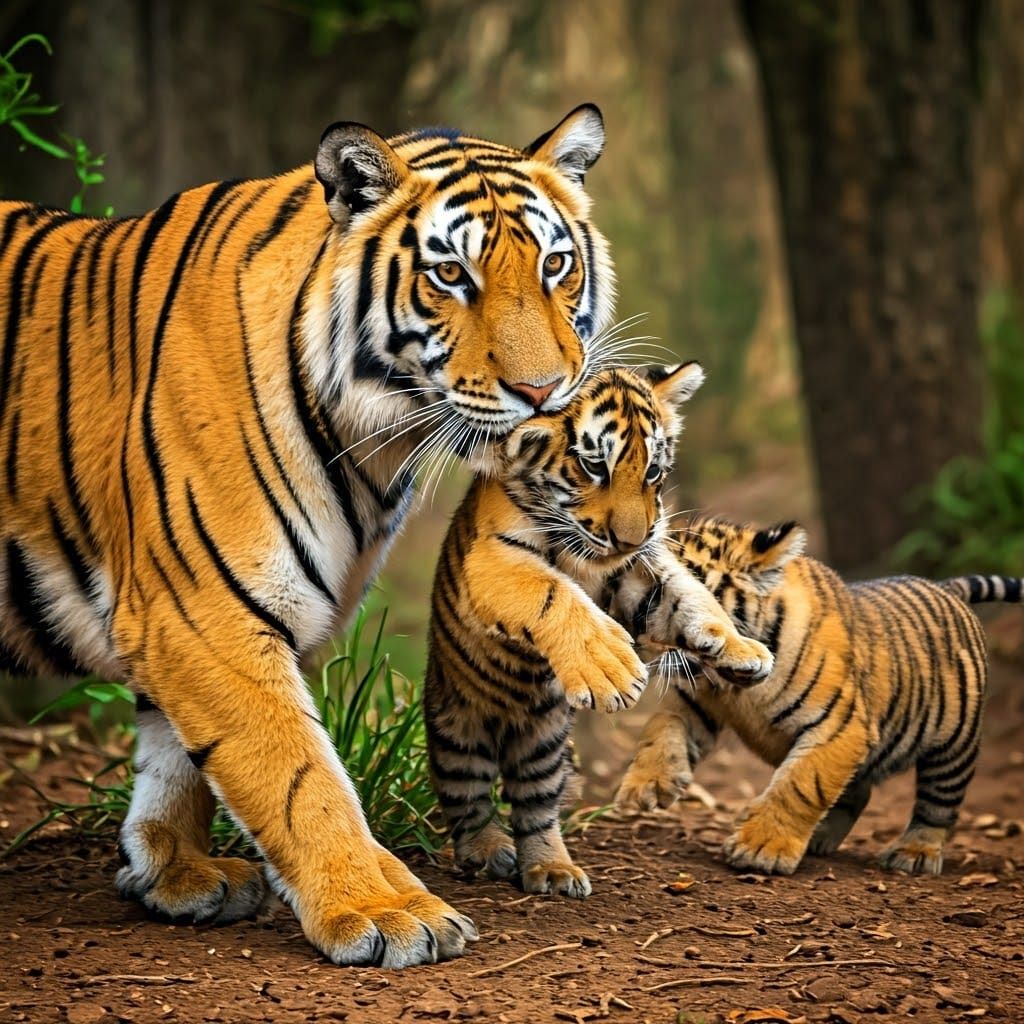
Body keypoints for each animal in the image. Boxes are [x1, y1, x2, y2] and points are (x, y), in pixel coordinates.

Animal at [0, 105, 631, 967]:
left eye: (556, 266)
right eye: (450, 276)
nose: (543, 393)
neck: (375, 444)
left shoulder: (187, 615)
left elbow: (179, 758)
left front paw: (174, 869)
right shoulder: (206, 614)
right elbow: (298, 774)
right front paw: (384, 909)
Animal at [424, 366, 774, 898]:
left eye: (653, 471)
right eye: (594, 467)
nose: (631, 539)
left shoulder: (636, 577)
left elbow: (687, 595)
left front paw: (740, 649)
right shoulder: (493, 559)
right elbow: (553, 592)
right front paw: (611, 672)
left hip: (546, 743)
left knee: (536, 808)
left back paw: (553, 869)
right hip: (458, 732)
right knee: (470, 799)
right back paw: (488, 851)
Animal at [614, 516, 1022, 876]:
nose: (633, 634)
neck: (734, 682)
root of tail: (947, 588)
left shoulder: (840, 724)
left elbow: (801, 783)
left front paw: (760, 849)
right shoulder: (696, 703)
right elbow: (662, 725)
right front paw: (647, 785)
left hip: (953, 745)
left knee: (939, 804)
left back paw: (914, 852)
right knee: (858, 792)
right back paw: (818, 838)